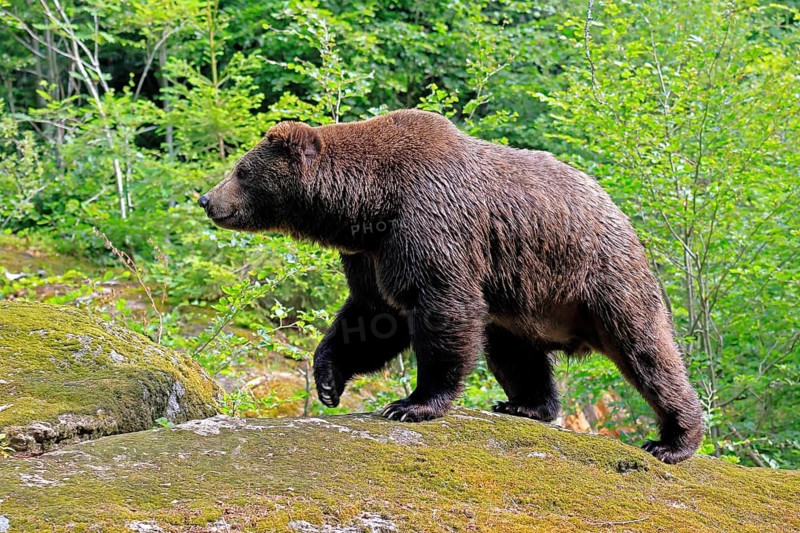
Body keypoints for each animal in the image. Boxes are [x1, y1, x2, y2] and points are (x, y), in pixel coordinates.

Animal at [199, 109, 704, 464]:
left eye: (241, 170)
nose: (206, 199)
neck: (369, 204)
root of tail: (619, 212)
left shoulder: (432, 224)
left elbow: (442, 308)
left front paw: (412, 404)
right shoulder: (371, 253)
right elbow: (372, 316)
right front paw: (327, 380)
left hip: (598, 277)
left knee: (646, 350)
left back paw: (673, 441)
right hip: (520, 302)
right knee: (513, 352)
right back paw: (525, 405)